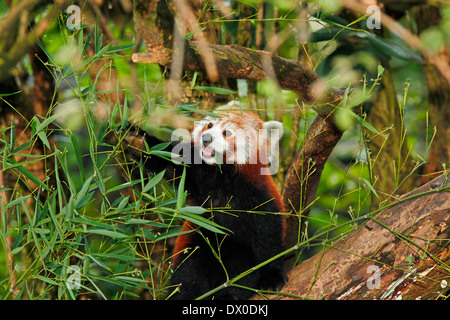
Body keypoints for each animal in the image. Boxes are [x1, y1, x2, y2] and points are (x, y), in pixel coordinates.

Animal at [125, 102, 286, 300]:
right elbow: (170, 164)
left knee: (239, 266)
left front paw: (272, 276)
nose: (206, 138)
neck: (223, 177)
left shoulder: (258, 196)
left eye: (227, 132)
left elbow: (268, 238)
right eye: (209, 125)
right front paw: (139, 140)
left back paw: (228, 294)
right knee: (189, 270)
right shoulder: (197, 179)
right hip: (196, 238)